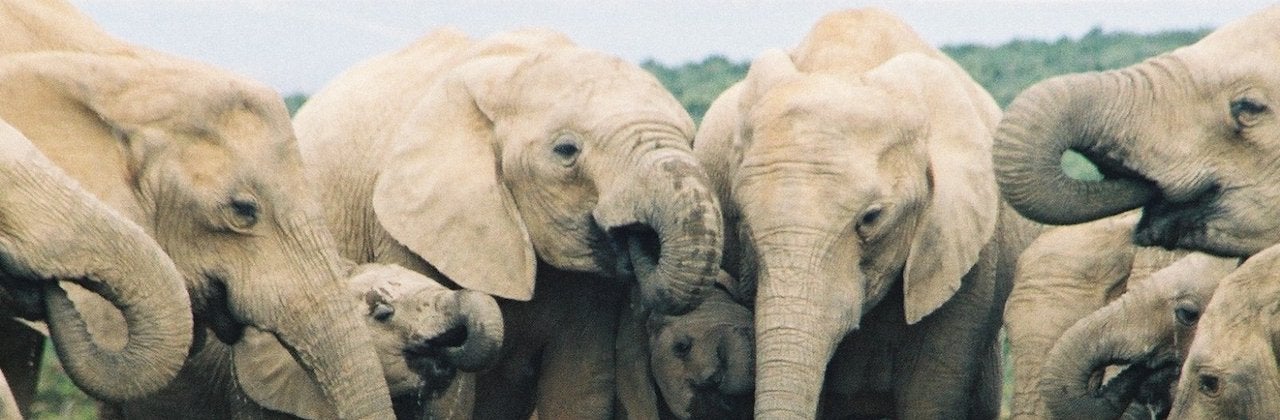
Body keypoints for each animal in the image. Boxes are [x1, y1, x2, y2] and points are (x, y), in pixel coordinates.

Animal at [293, 27, 724, 418]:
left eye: (692, 140)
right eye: (566, 150)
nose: (637, 238)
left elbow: (580, 382)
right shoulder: (406, 228)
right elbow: (450, 396)